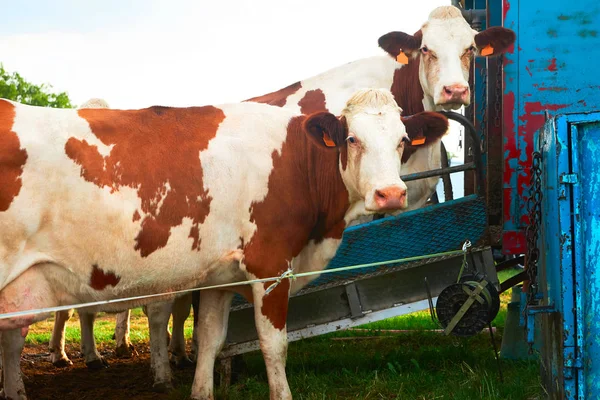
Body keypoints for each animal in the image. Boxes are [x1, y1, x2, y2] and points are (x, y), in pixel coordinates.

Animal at [0, 89, 448, 398]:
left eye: (403, 140)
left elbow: (210, 342)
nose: (390, 194)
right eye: (352, 139)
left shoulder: (219, 276)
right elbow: (274, 345)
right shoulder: (270, 266)